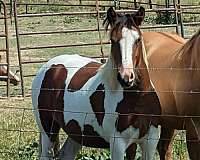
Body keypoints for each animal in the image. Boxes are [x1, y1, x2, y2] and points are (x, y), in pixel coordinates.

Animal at [32, 6, 162, 160]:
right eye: (113, 40)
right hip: (48, 129)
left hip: (76, 133)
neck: (138, 100)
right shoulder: (118, 144)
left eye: (138, 39)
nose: (126, 77)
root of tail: (49, 67)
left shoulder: (150, 141)